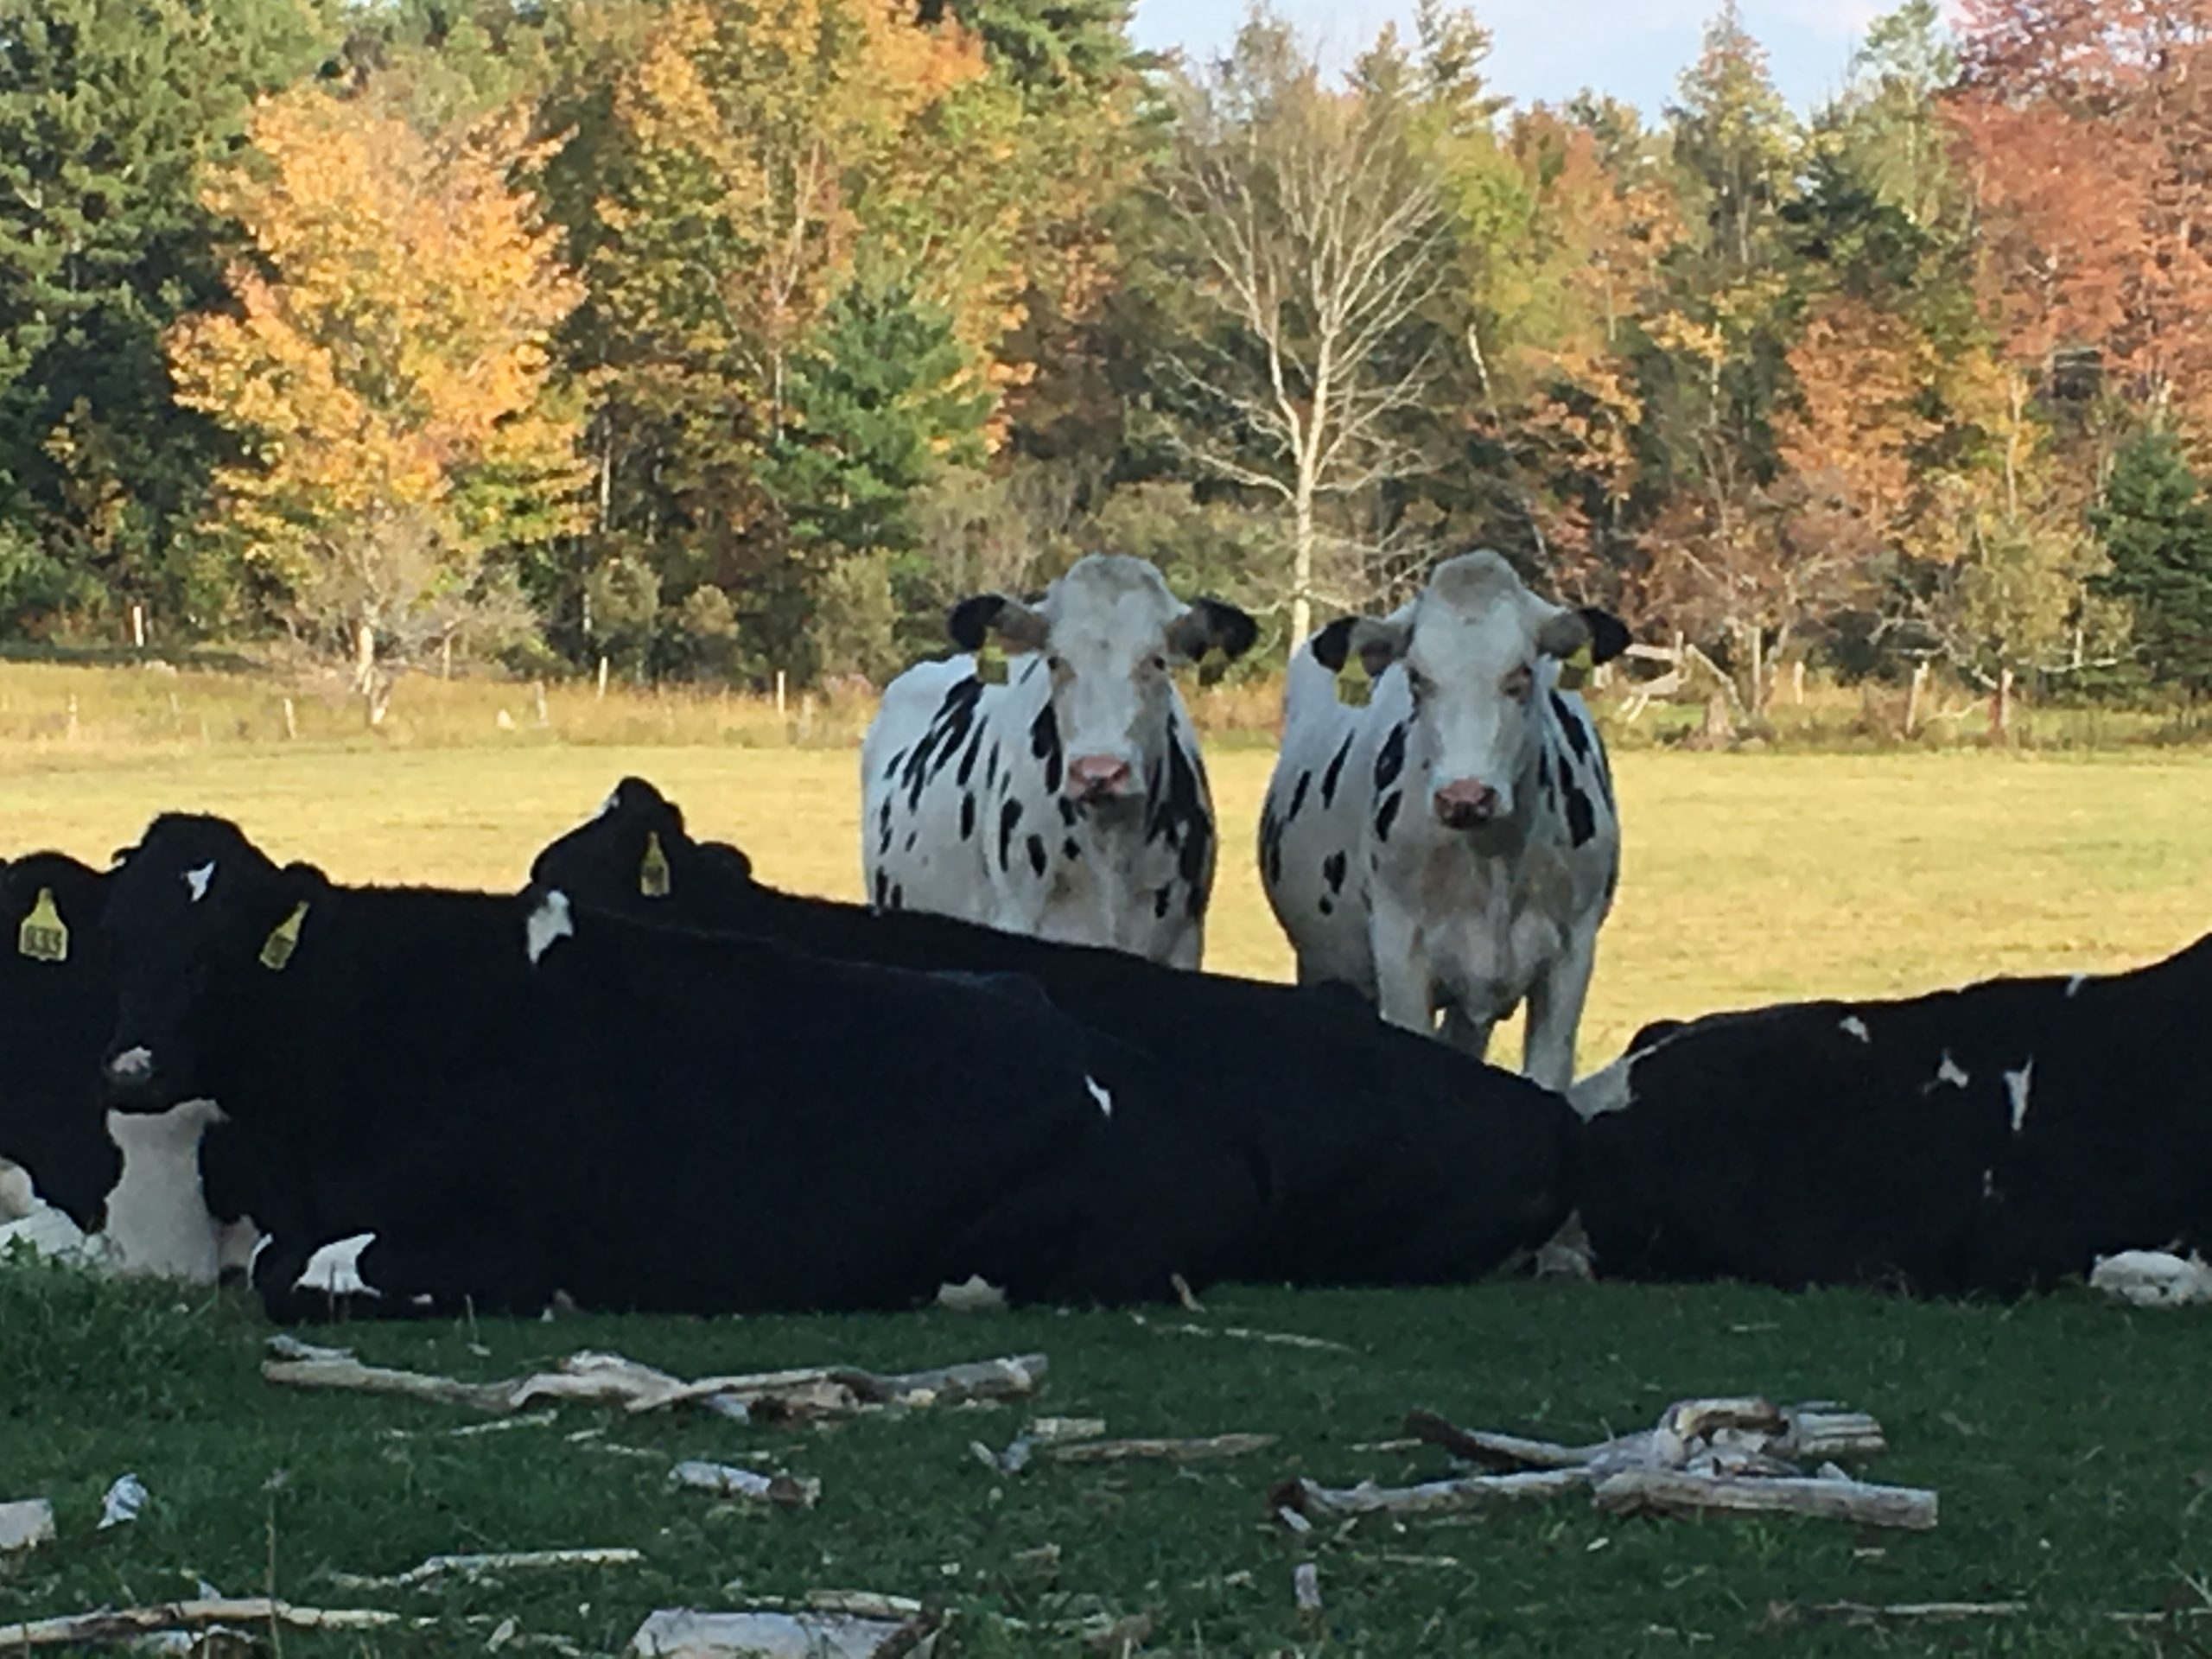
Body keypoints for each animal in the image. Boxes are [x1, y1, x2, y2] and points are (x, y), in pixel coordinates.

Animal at [1259, 551, 1630, 1088]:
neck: (1495, 860)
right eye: (1417, 678)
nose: (1465, 797)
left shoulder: (1571, 958)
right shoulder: (1401, 956)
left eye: (1521, 674)